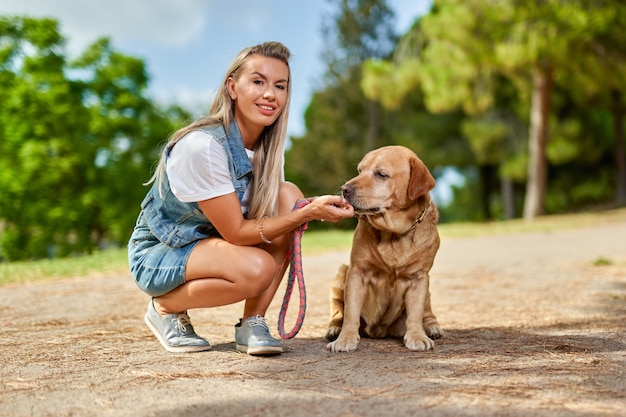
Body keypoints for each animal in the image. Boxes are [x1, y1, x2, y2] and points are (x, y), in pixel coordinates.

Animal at [324, 145, 442, 352]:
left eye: (381, 174)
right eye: (360, 171)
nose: (345, 189)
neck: (392, 233)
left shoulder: (419, 278)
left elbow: (416, 313)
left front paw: (417, 336)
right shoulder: (357, 272)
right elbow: (351, 312)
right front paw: (345, 339)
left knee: (427, 311)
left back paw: (432, 327)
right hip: (341, 274)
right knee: (338, 311)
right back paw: (334, 330)